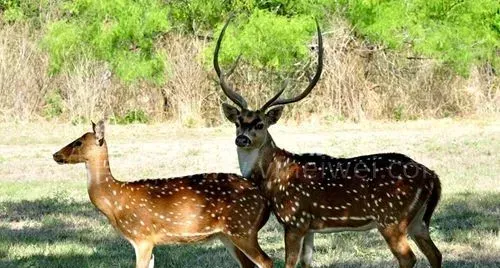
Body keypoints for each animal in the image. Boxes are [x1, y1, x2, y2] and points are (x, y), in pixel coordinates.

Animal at [53, 121, 274, 268]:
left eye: (78, 142)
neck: (115, 201)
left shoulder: (142, 237)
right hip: (227, 234)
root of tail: (264, 199)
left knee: (266, 261)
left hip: (243, 229)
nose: (55, 154)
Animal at [214, 18, 442, 268]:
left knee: (408, 257)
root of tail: (433, 177)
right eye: (238, 122)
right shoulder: (310, 227)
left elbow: (290, 263)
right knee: (435, 253)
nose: (242, 139)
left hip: (391, 218)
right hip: (417, 221)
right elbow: (306, 263)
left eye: (260, 124)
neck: (273, 178)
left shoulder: (295, 219)